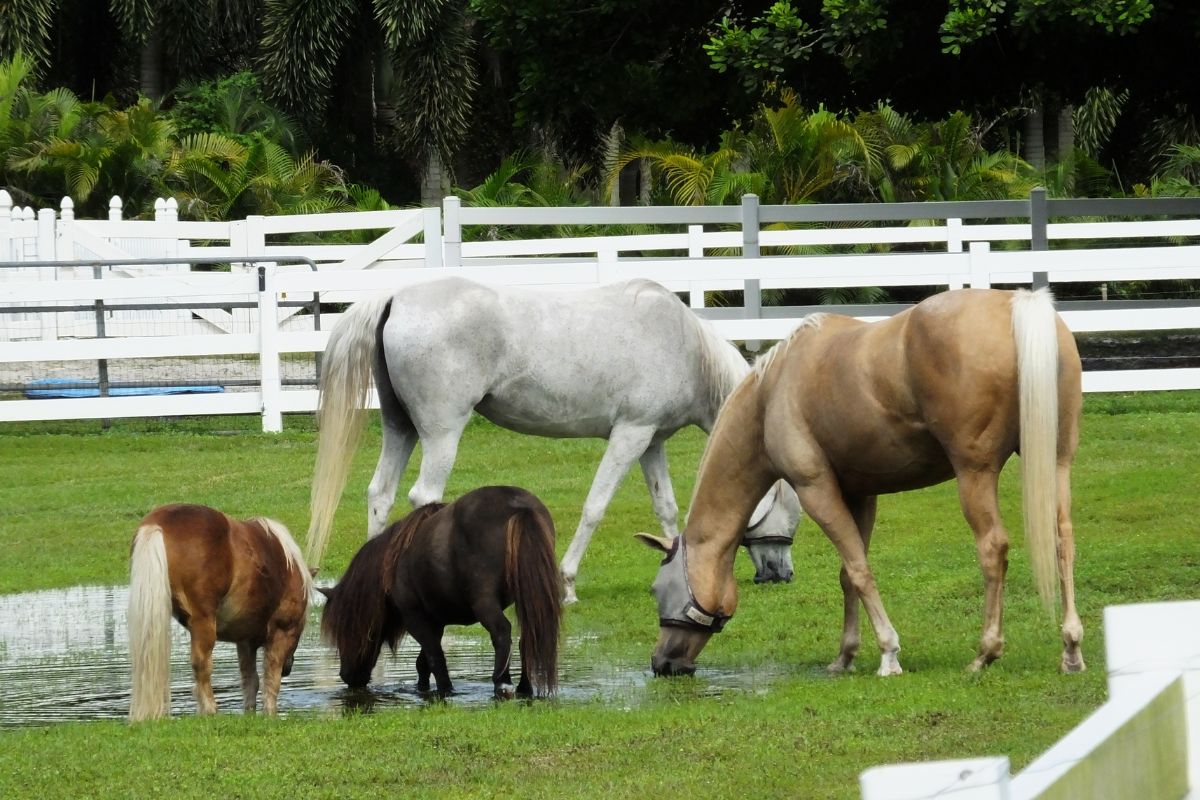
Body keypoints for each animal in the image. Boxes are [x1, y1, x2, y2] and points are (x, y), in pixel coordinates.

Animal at [127, 506, 314, 724]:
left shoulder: (245, 641)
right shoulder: (281, 633)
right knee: (202, 664)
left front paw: (250, 712)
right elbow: (271, 678)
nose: (288, 668)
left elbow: (251, 680)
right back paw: (209, 709)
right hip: (204, 623)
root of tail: (157, 524)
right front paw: (270, 714)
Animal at [304, 278, 801, 604]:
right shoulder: (630, 434)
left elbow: (667, 508)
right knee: (422, 497)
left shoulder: (651, 442)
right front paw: (567, 583)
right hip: (441, 435)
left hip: (400, 429)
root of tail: (396, 298)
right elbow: (595, 507)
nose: (783, 575)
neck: (682, 344)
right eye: (793, 515)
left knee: (380, 495)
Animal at [319, 484, 561, 695]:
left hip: (484, 601)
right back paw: (524, 688)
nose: (347, 677)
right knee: (528, 636)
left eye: (344, 628)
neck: (393, 562)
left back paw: (502, 683)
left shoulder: (415, 618)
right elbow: (423, 663)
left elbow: (435, 659)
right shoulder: (436, 621)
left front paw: (445, 691)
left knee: (501, 633)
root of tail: (518, 507)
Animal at [643, 291, 1084, 681]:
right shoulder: (860, 495)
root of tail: (1018, 304)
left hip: (974, 474)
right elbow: (847, 573)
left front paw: (888, 653)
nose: (661, 663)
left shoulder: (817, 490)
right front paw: (845, 656)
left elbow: (859, 570)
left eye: (658, 589)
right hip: (1059, 463)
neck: (771, 395)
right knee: (1062, 539)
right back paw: (1071, 648)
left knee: (993, 548)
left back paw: (985, 652)